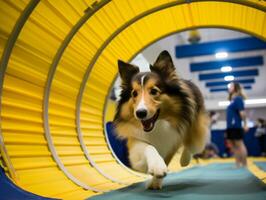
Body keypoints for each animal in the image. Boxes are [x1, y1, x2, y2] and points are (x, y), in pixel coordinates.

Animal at [113, 50, 209, 190]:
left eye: (154, 91)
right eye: (134, 93)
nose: (140, 113)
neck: (158, 125)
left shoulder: (173, 139)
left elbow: (167, 158)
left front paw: (156, 179)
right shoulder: (135, 140)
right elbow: (149, 148)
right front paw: (155, 168)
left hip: (194, 127)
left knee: (192, 145)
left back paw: (184, 160)